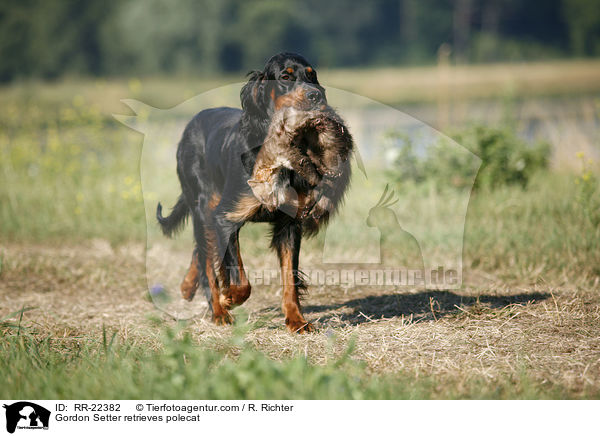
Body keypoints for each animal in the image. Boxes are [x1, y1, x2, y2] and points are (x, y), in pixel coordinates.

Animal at [156, 52, 352, 332]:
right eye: (285, 77)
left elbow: (289, 278)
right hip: (203, 206)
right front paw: (229, 298)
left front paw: (297, 320)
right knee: (207, 260)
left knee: (202, 251)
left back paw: (187, 285)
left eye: (312, 75)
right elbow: (239, 279)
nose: (316, 95)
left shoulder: (289, 224)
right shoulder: (225, 218)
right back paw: (218, 312)